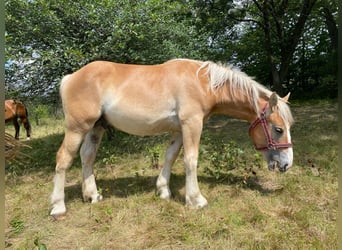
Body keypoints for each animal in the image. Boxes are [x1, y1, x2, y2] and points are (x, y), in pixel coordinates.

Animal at [49, 58, 292, 217]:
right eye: (278, 129)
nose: (287, 164)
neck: (203, 83)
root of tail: (71, 77)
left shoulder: (178, 130)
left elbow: (170, 157)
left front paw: (163, 191)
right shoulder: (192, 124)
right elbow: (190, 160)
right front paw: (196, 200)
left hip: (95, 128)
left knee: (87, 157)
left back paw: (92, 195)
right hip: (77, 127)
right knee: (63, 159)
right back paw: (58, 206)